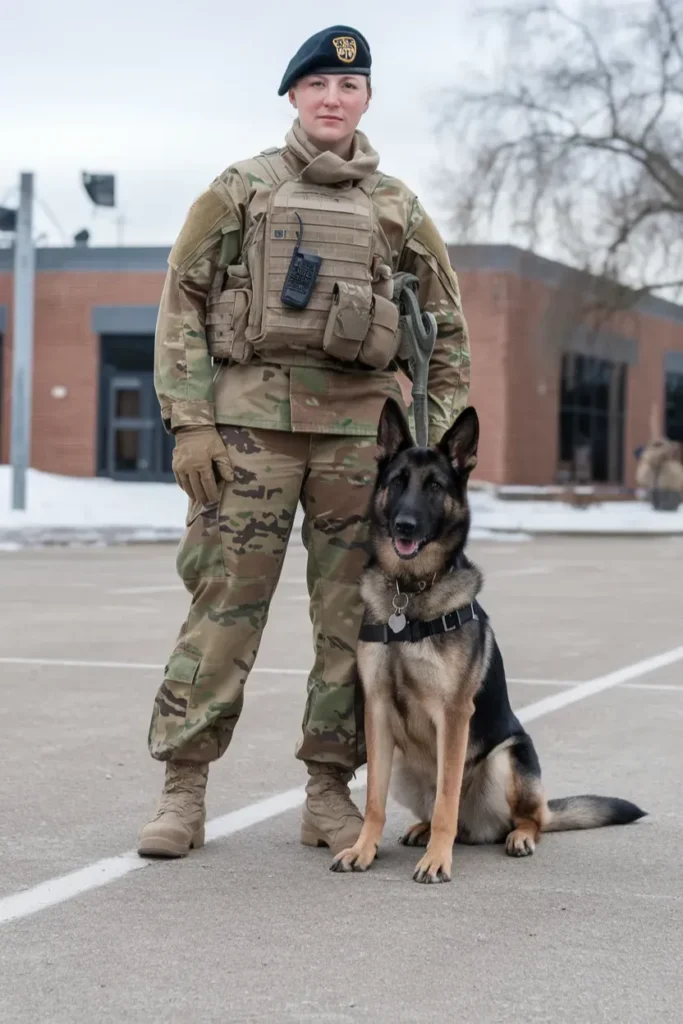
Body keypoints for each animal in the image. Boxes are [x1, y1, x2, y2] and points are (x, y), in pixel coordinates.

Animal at [331, 397, 647, 880]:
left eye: (435, 486)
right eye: (398, 481)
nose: (405, 525)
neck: (411, 594)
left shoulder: (454, 714)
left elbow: (446, 797)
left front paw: (437, 861)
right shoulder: (378, 711)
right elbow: (374, 802)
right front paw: (363, 849)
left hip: (509, 758)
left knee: (523, 818)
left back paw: (514, 837)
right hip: (404, 764)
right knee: (441, 812)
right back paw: (422, 830)